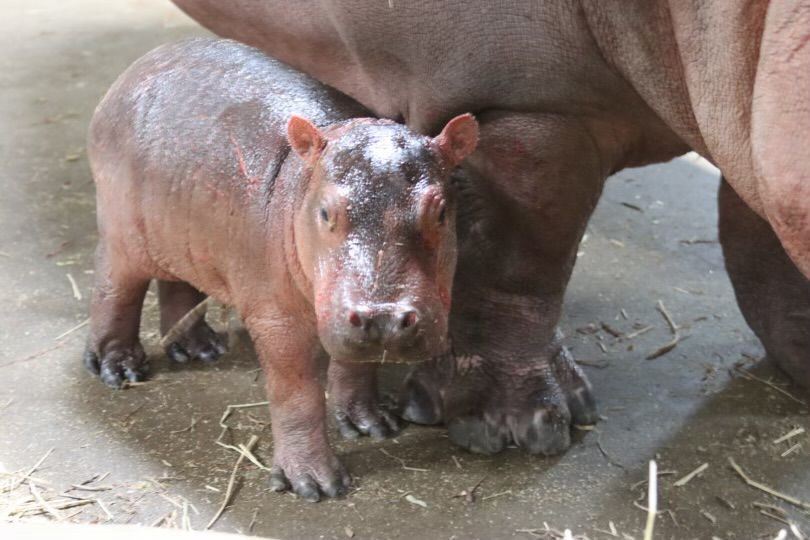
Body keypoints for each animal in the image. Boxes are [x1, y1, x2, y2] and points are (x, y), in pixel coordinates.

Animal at [83, 39, 474, 502]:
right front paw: (316, 486)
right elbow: (296, 392)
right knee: (115, 289)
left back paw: (200, 349)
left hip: (182, 227)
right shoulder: (277, 318)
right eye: (325, 212)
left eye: (442, 211)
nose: (384, 317)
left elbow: (357, 363)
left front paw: (373, 425)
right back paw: (119, 370)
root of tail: (131, 73)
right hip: (121, 232)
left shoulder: (341, 313)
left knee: (178, 283)